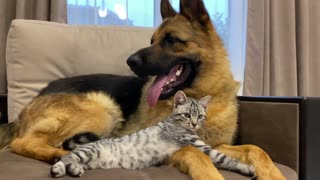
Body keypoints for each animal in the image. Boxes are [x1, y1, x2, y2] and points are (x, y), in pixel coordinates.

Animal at [50, 90, 255, 178]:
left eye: (200, 116)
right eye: (187, 115)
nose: (195, 124)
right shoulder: (200, 146)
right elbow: (225, 158)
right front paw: (247, 168)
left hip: (90, 159)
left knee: (72, 161)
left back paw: (75, 170)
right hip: (89, 152)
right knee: (66, 158)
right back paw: (58, 169)